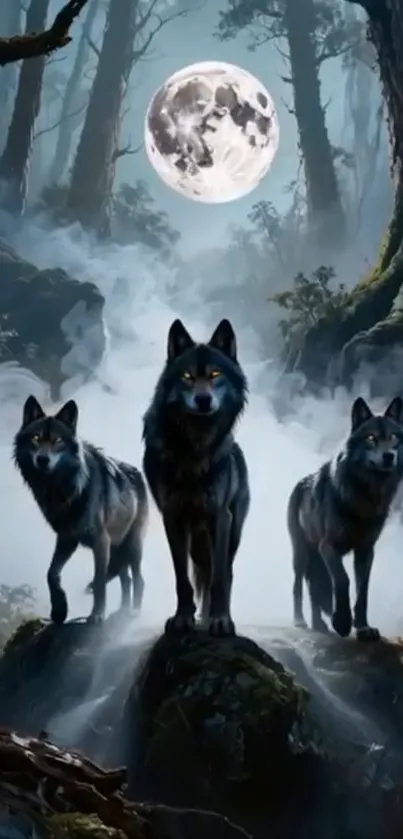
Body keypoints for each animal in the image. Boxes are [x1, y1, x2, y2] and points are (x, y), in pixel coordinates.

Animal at [14, 395, 148, 625]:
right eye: (36, 437)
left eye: (58, 440)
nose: (42, 459)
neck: (62, 489)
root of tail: (137, 472)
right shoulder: (67, 539)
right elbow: (51, 574)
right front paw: (59, 610)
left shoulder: (101, 541)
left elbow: (99, 581)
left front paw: (97, 615)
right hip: (118, 547)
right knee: (126, 578)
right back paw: (122, 611)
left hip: (132, 545)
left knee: (139, 579)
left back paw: (134, 613)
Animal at [142, 317, 250, 637]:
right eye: (187, 376)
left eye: (215, 374)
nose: (203, 400)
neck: (193, 449)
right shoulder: (172, 516)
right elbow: (182, 578)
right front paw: (182, 618)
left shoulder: (220, 516)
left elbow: (219, 579)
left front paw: (221, 620)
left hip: (233, 530)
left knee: (224, 571)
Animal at [288, 396, 403, 641]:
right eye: (371, 438)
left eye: (393, 437)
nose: (389, 456)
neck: (365, 498)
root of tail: (300, 483)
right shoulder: (328, 546)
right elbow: (342, 580)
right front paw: (342, 622)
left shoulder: (366, 550)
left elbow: (363, 590)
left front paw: (363, 628)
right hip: (302, 554)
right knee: (298, 586)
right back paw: (301, 621)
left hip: (316, 558)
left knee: (313, 589)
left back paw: (318, 625)